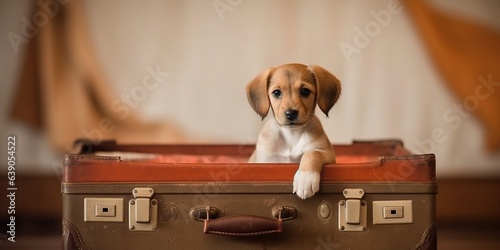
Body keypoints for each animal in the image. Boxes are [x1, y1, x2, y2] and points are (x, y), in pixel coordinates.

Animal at [245, 64, 340, 199]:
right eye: (277, 92)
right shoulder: (266, 160)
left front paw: (305, 179)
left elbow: (311, 154)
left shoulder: (327, 153)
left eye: (305, 91)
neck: (292, 135)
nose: (290, 114)